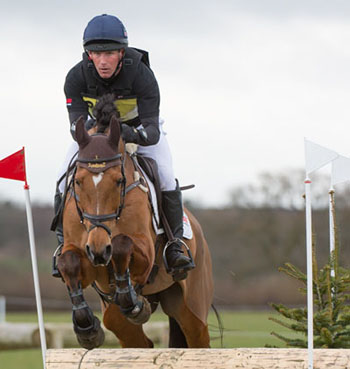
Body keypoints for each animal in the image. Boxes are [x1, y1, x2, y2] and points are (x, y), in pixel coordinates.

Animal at [56, 104, 213, 348]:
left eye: (119, 181)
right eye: (78, 181)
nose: (99, 250)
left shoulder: (145, 254)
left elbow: (122, 245)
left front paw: (133, 302)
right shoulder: (87, 261)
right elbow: (68, 262)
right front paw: (87, 328)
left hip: (193, 308)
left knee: (198, 338)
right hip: (117, 318)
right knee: (139, 341)